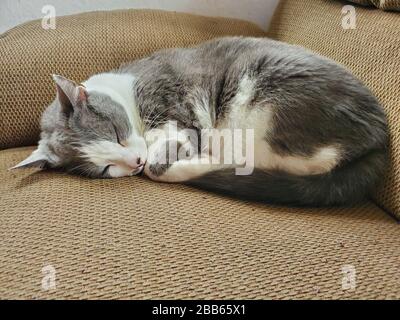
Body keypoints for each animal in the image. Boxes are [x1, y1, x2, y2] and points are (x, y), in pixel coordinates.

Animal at [11, 37, 388, 206]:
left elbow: (161, 159)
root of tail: (380, 139)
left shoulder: (176, 113)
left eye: (118, 133)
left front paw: (164, 160)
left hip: (260, 106)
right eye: (104, 169)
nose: (134, 162)